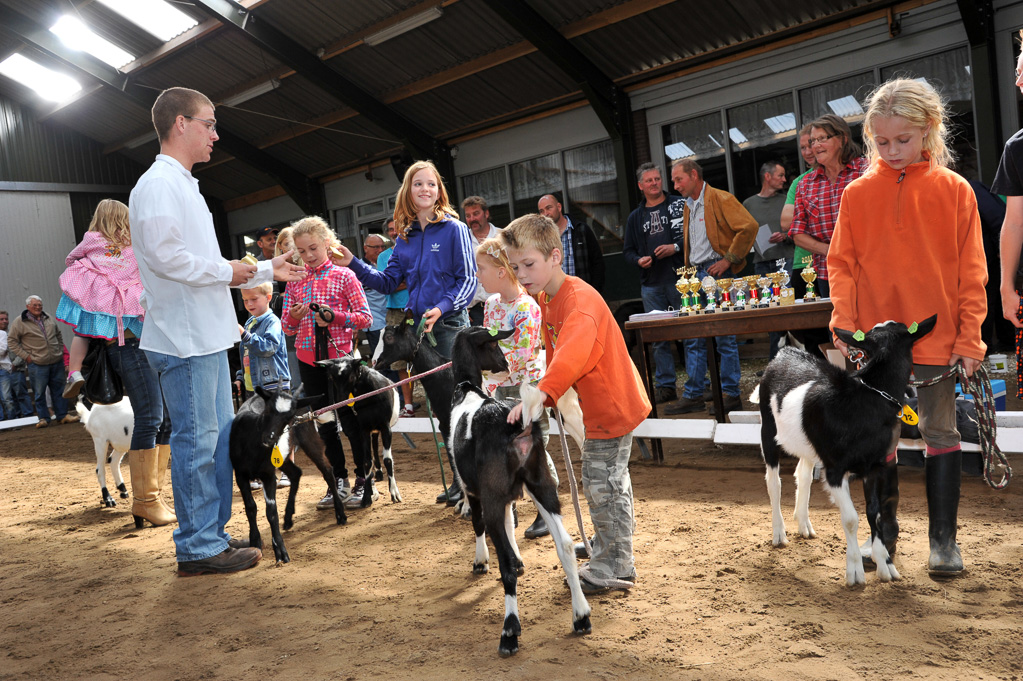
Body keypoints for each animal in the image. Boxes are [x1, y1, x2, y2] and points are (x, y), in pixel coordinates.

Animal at [230, 386, 345, 560]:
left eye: (289, 417)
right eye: (268, 410)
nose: (270, 438)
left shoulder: (268, 475)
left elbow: (271, 512)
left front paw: (280, 551)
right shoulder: (240, 474)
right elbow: (250, 508)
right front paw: (255, 542)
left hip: (308, 437)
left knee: (327, 470)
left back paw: (340, 514)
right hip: (282, 458)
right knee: (296, 473)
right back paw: (288, 518)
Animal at [317, 355, 401, 503]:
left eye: (351, 376)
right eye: (332, 377)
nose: (341, 401)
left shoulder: (386, 428)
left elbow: (388, 459)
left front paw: (394, 493)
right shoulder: (364, 429)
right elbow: (366, 461)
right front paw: (366, 497)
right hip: (372, 429)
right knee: (374, 445)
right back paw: (378, 473)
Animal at [448, 327, 593, 654]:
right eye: (492, 345)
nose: (504, 363)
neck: (468, 391)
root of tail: (518, 427)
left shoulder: (477, 491)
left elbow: (479, 524)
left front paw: (480, 562)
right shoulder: (508, 495)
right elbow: (510, 522)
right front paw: (519, 558)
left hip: (497, 491)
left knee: (505, 566)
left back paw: (509, 632)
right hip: (542, 485)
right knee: (565, 545)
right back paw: (581, 616)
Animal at [761, 312, 937, 584]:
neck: (866, 399)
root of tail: (785, 353)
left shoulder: (874, 466)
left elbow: (875, 513)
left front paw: (884, 565)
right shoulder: (835, 470)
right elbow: (851, 519)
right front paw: (855, 571)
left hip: (808, 444)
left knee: (802, 474)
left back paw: (803, 524)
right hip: (768, 429)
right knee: (774, 482)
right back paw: (779, 533)